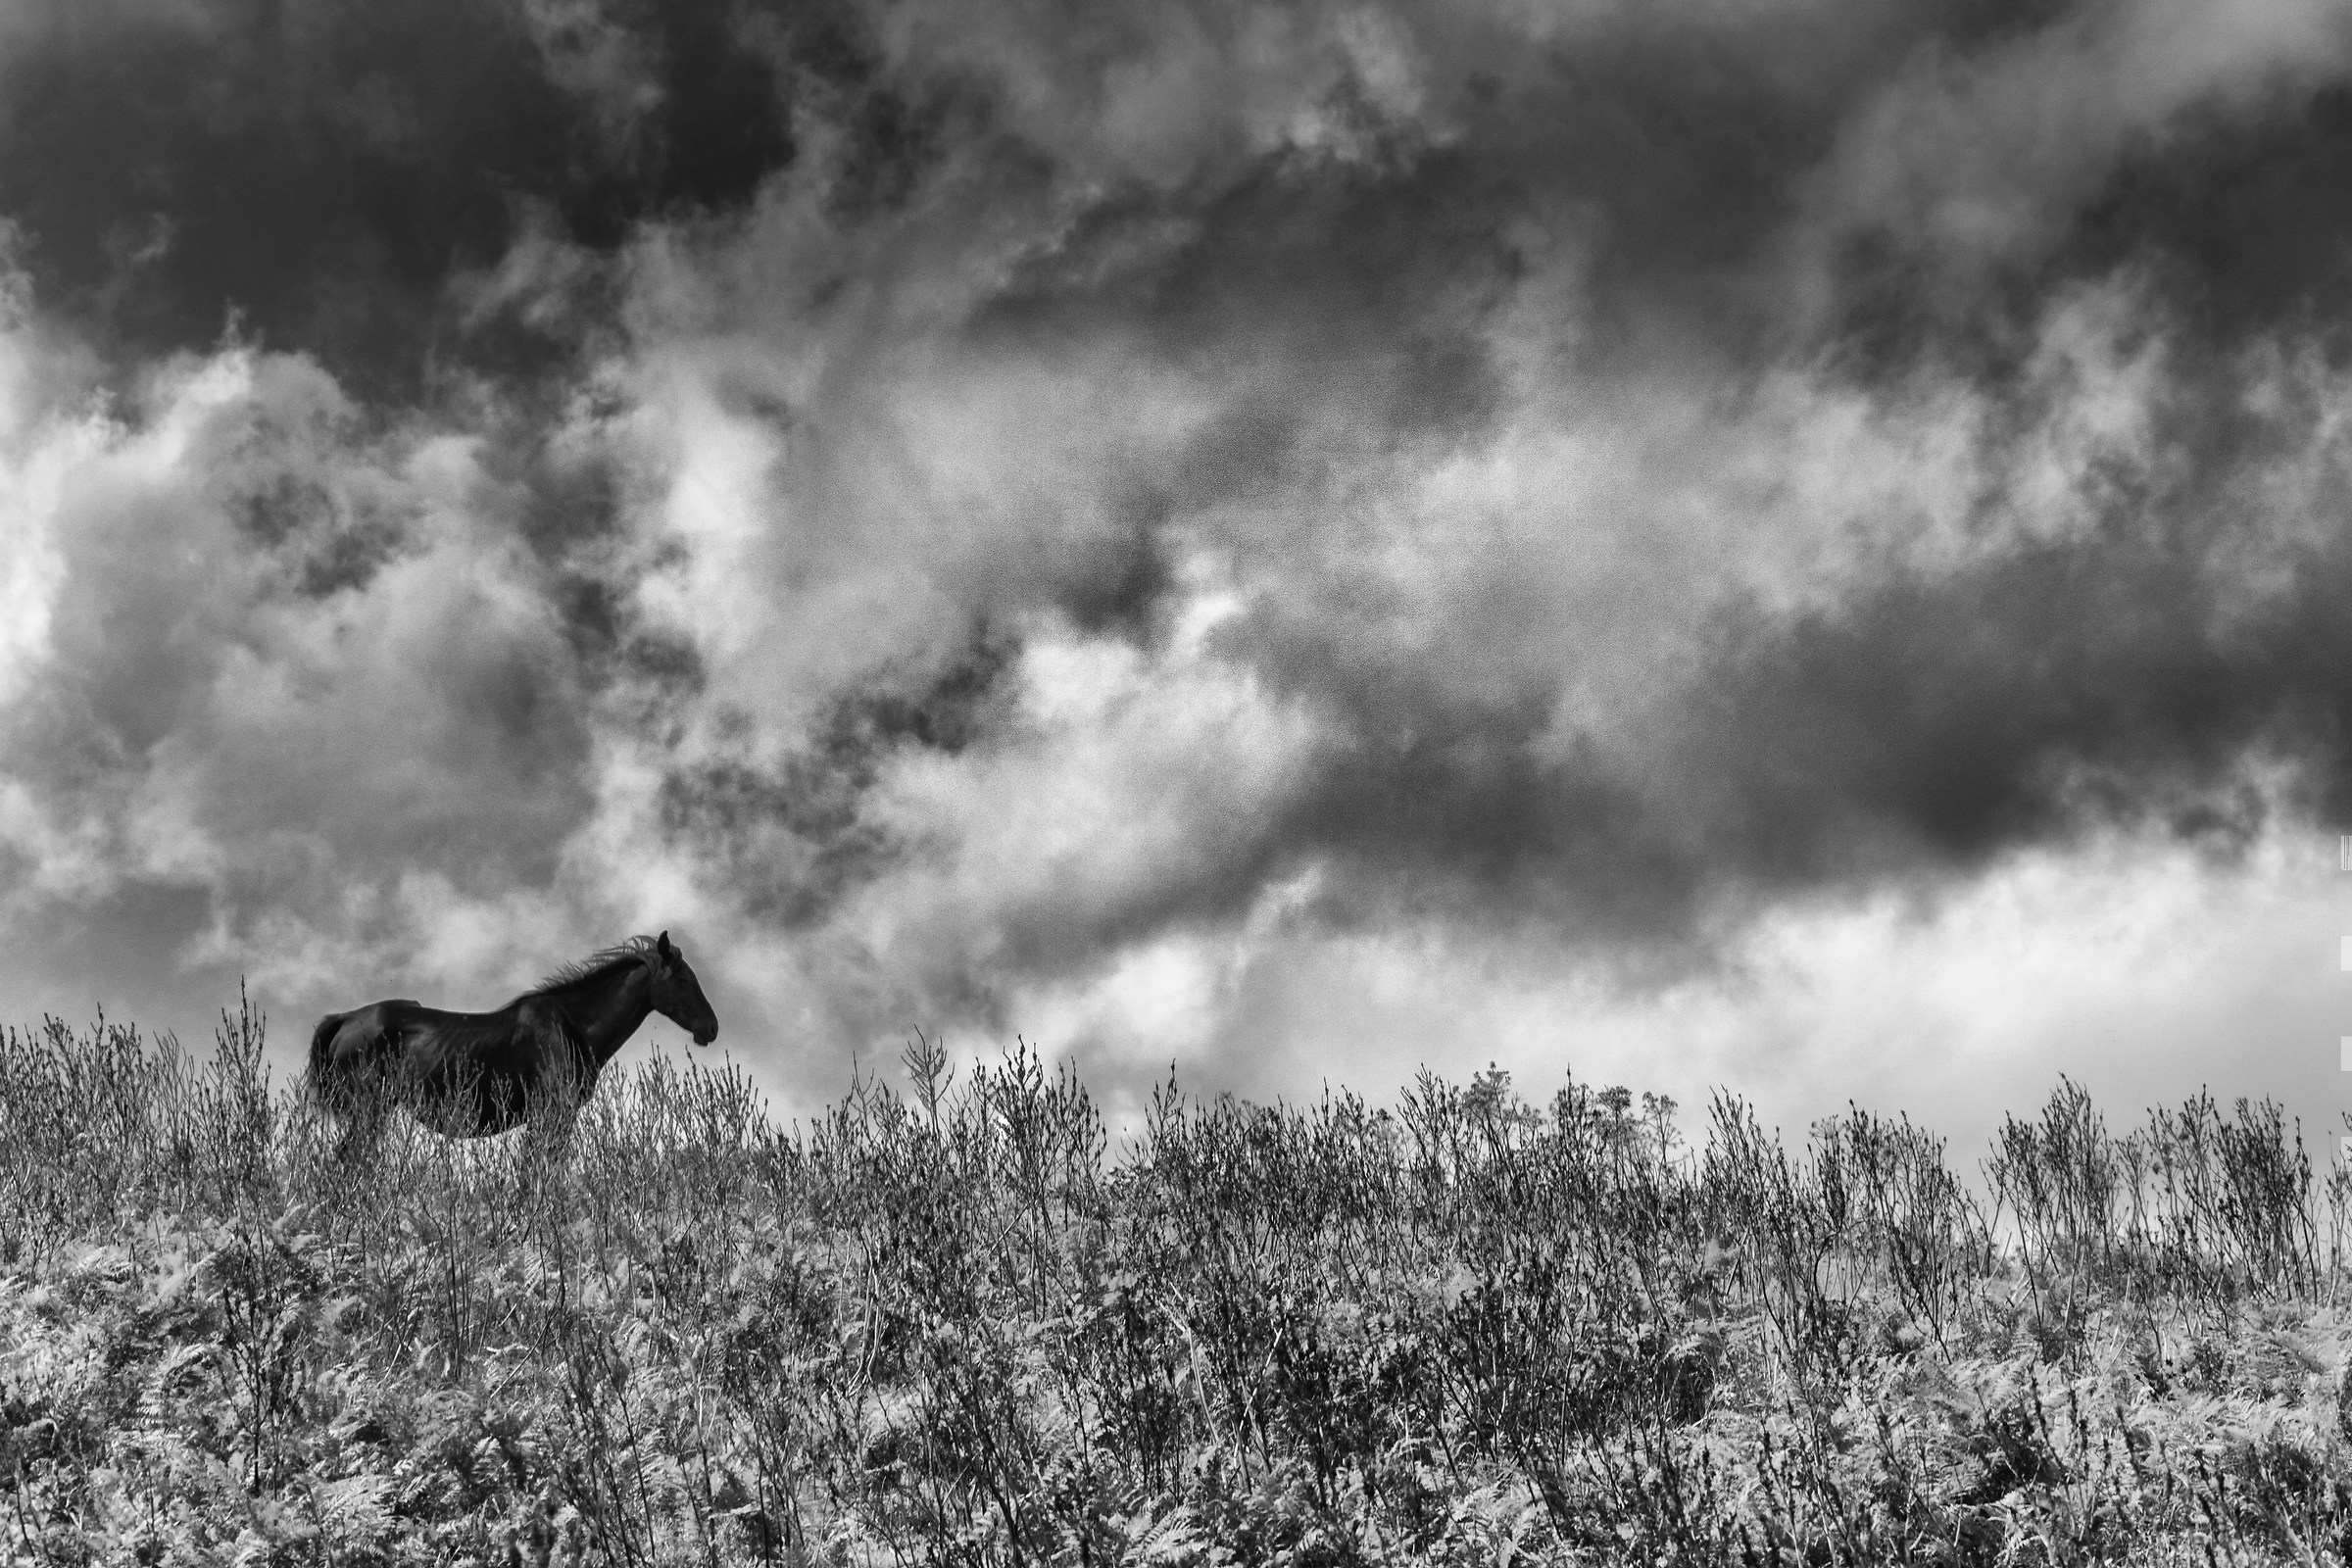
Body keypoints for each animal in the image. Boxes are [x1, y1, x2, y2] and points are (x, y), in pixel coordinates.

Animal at [307, 931, 719, 1158]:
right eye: (682, 980)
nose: (711, 1027)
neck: (572, 1025)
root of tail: (346, 1019)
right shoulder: (553, 1113)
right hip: (369, 1110)